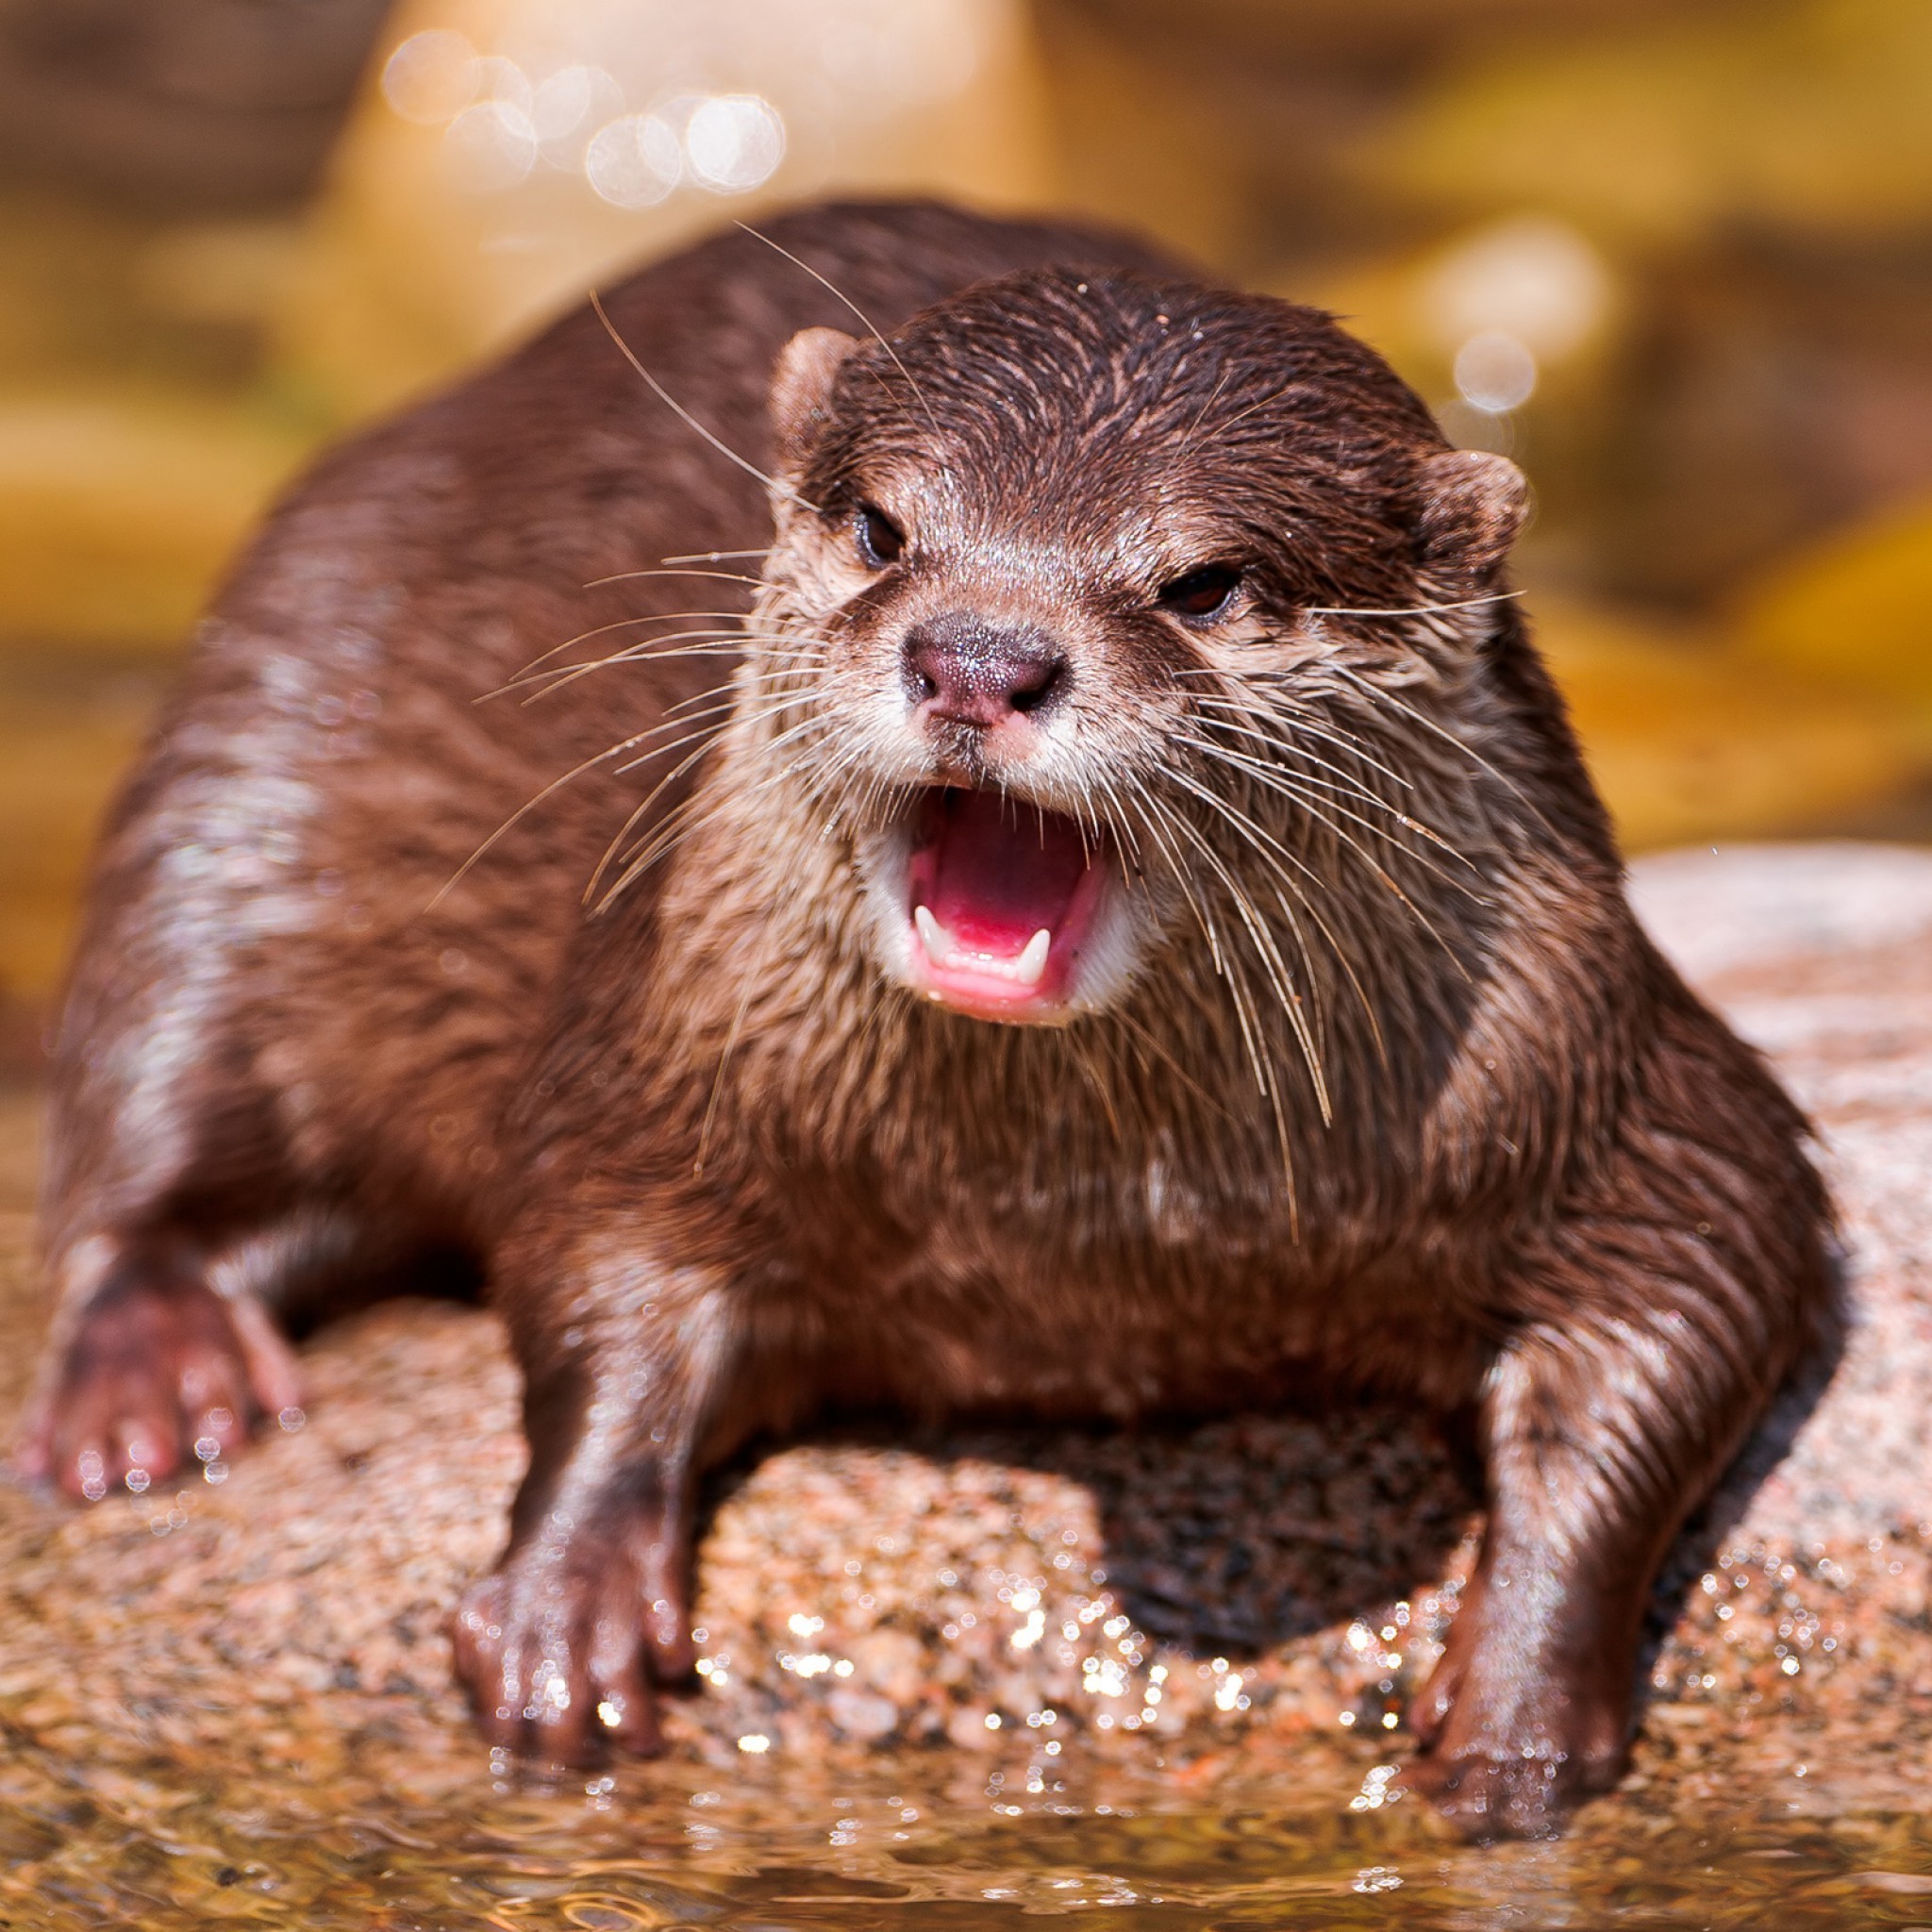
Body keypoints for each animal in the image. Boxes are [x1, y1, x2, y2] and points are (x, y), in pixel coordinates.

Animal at [18, 201, 1832, 1838]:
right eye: (885, 531)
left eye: (1203, 582)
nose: (977, 656)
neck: (1088, 1221)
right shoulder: (649, 1053)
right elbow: (593, 1282)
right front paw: (561, 1603)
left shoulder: (1612, 1074)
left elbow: (1700, 1288)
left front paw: (1516, 1697)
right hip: (258, 725)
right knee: (155, 1100)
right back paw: (153, 1378)